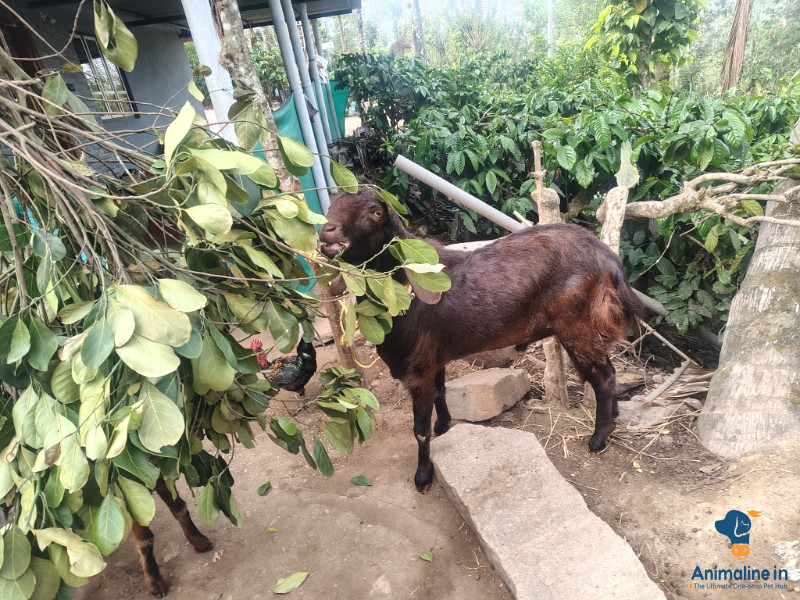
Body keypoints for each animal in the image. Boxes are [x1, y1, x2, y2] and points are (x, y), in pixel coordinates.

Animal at [320, 188, 643, 492]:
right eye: (330, 205)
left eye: (376, 212)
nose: (327, 230)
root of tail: (609, 260)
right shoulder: (435, 356)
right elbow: (440, 391)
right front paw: (445, 425)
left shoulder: (418, 369)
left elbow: (420, 429)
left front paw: (423, 477)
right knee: (609, 372)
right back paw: (612, 419)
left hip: (578, 326)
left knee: (604, 377)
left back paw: (598, 439)